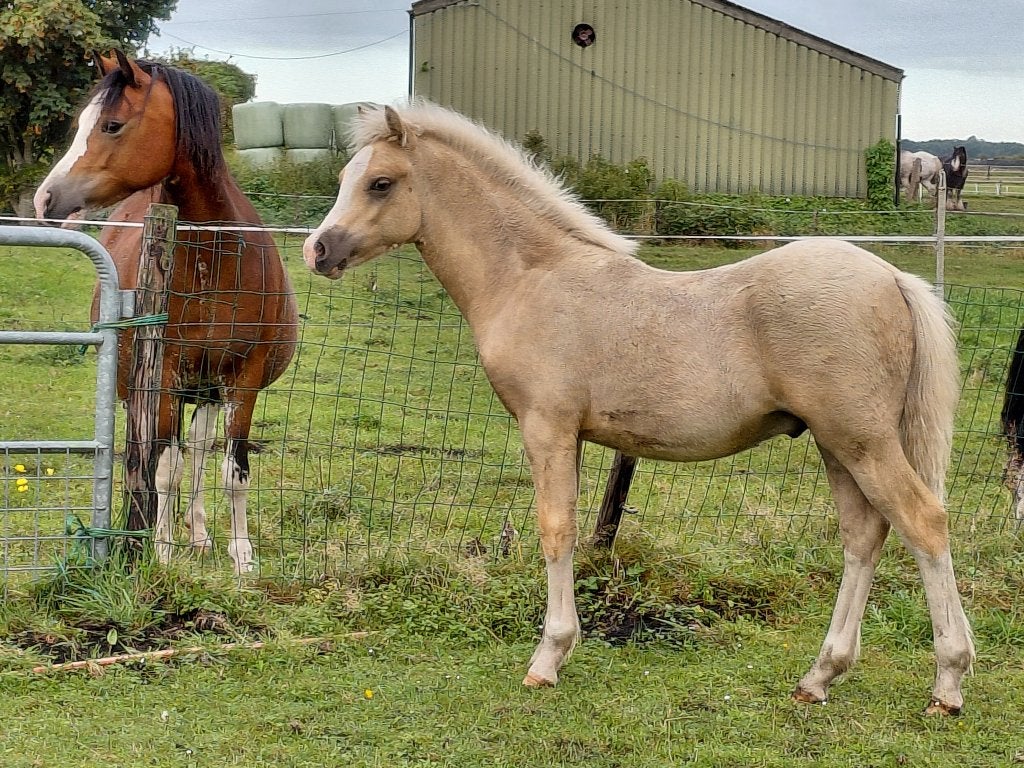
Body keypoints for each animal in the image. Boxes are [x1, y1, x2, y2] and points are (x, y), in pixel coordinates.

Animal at [34, 50, 298, 573]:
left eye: (112, 125)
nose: (45, 199)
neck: (214, 257)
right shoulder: (167, 374)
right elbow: (165, 469)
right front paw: (162, 551)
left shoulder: (243, 377)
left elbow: (231, 469)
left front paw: (241, 555)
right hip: (144, 387)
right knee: (155, 455)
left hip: (208, 391)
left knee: (197, 450)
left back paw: (199, 533)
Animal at [301, 102, 974, 714]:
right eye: (344, 177)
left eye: (380, 182)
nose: (317, 250)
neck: (532, 277)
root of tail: (893, 278)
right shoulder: (569, 436)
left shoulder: (547, 427)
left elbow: (556, 531)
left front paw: (549, 658)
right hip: (837, 444)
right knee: (864, 536)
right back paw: (820, 676)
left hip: (860, 440)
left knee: (923, 522)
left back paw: (947, 683)